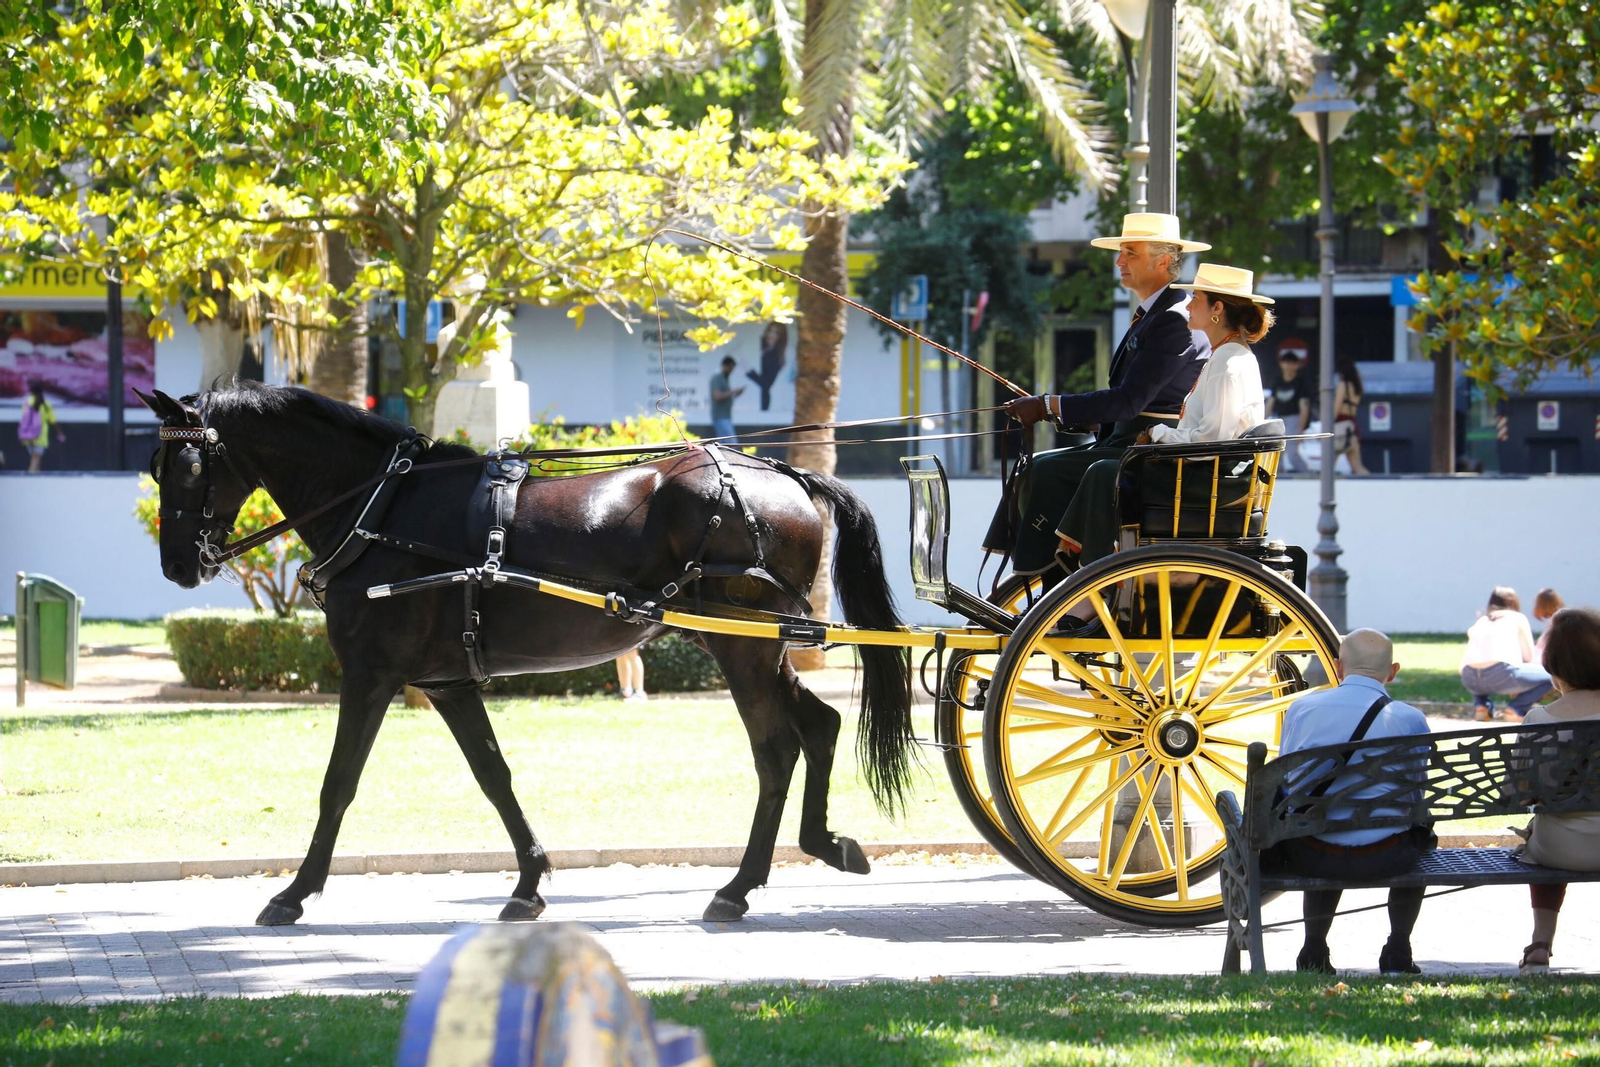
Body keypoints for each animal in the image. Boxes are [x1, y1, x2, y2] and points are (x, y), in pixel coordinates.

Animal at [139, 382, 913, 926]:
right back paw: (822, 845)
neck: (382, 508)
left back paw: (738, 886)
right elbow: (494, 776)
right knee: (818, 726)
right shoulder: (447, 683)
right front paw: (531, 881)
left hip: (739, 647)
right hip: (750, 643)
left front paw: (295, 893)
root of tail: (785, 475)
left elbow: (338, 785)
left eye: (188, 465)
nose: (176, 564)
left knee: (777, 748)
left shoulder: (370, 675)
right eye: (157, 465)